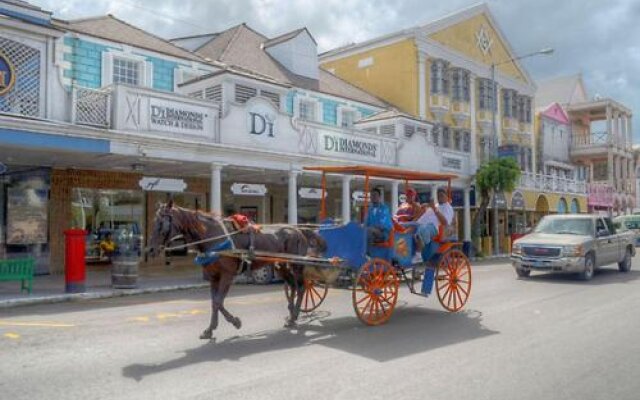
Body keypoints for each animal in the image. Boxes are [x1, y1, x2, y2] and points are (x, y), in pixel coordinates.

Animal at [146, 202, 324, 340]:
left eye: (161, 223)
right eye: (154, 221)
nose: (150, 250)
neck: (213, 236)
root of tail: (298, 230)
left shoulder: (227, 275)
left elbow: (218, 302)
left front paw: (235, 322)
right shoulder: (214, 276)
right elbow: (214, 302)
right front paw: (210, 329)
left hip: (296, 264)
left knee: (302, 287)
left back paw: (294, 315)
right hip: (281, 266)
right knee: (292, 286)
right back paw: (291, 315)